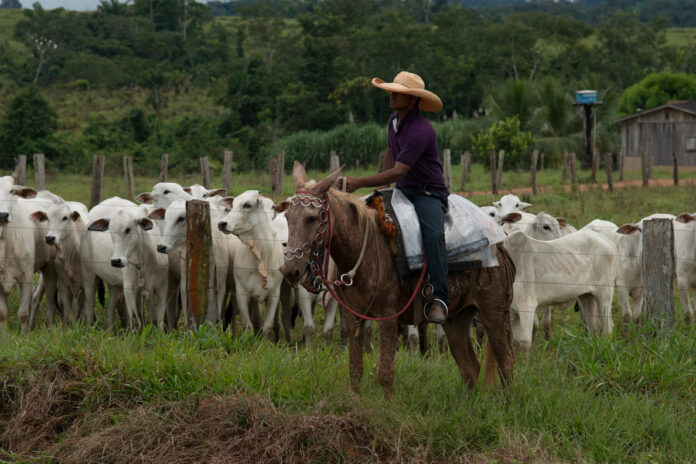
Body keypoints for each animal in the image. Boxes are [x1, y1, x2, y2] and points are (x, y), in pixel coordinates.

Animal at [218, 190, 282, 338]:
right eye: (233, 204)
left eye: (247, 205)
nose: (222, 223)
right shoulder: (242, 292)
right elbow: (248, 325)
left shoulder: (274, 294)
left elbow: (267, 326)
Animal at [280, 163, 512, 396]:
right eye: (287, 217)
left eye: (312, 218)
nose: (290, 270)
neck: (364, 250)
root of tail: (500, 249)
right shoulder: (354, 315)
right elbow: (355, 369)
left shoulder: (388, 317)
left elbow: (385, 373)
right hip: (456, 318)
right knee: (470, 369)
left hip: (493, 314)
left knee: (505, 364)